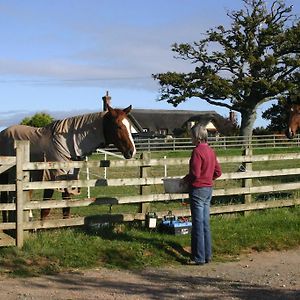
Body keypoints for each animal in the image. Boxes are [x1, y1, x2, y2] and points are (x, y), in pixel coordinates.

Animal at [0, 105, 136, 220]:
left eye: (129, 126)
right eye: (118, 126)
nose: (132, 152)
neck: (65, 143)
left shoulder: (68, 178)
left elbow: (66, 207)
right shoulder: (51, 178)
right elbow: (46, 209)